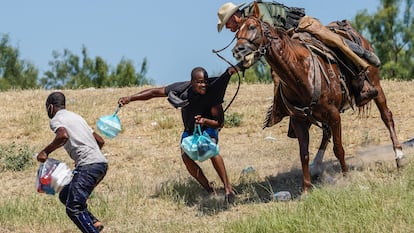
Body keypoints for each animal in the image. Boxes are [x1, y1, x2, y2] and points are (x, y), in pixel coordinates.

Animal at [233, 1, 404, 192]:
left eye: (252, 27)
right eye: (236, 33)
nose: (238, 50)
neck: (300, 74)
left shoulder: (334, 115)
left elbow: (339, 148)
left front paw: (346, 177)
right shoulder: (299, 120)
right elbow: (304, 154)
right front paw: (306, 188)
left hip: (376, 86)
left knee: (386, 116)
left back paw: (399, 156)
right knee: (326, 133)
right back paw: (316, 166)